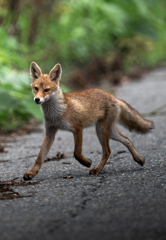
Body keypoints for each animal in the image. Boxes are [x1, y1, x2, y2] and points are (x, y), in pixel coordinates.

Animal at [23, 62, 153, 180]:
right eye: (36, 88)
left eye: (46, 90)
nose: (37, 99)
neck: (55, 113)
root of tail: (113, 97)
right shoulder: (50, 132)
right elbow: (39, 157)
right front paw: (31, 173)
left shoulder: (77, 128)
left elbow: (76, 153)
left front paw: (86, 162)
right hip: (109, 132)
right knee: (127, 140)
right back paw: (139, 159)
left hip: (101, 130)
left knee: (108, 151)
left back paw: (98, 169)